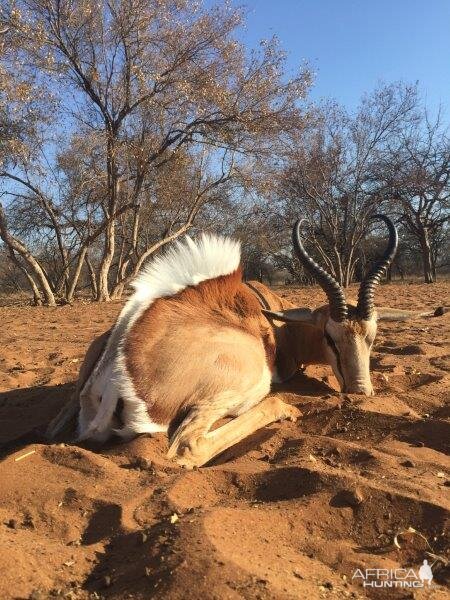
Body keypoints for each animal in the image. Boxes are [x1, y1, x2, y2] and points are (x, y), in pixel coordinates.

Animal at [47, 216, 430, 468]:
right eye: (330, 337)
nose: (360, 391)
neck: (273, 319)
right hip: (240, 386)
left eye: (372, 337)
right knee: (191, 445)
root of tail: (116, 373)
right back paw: (286, 410)